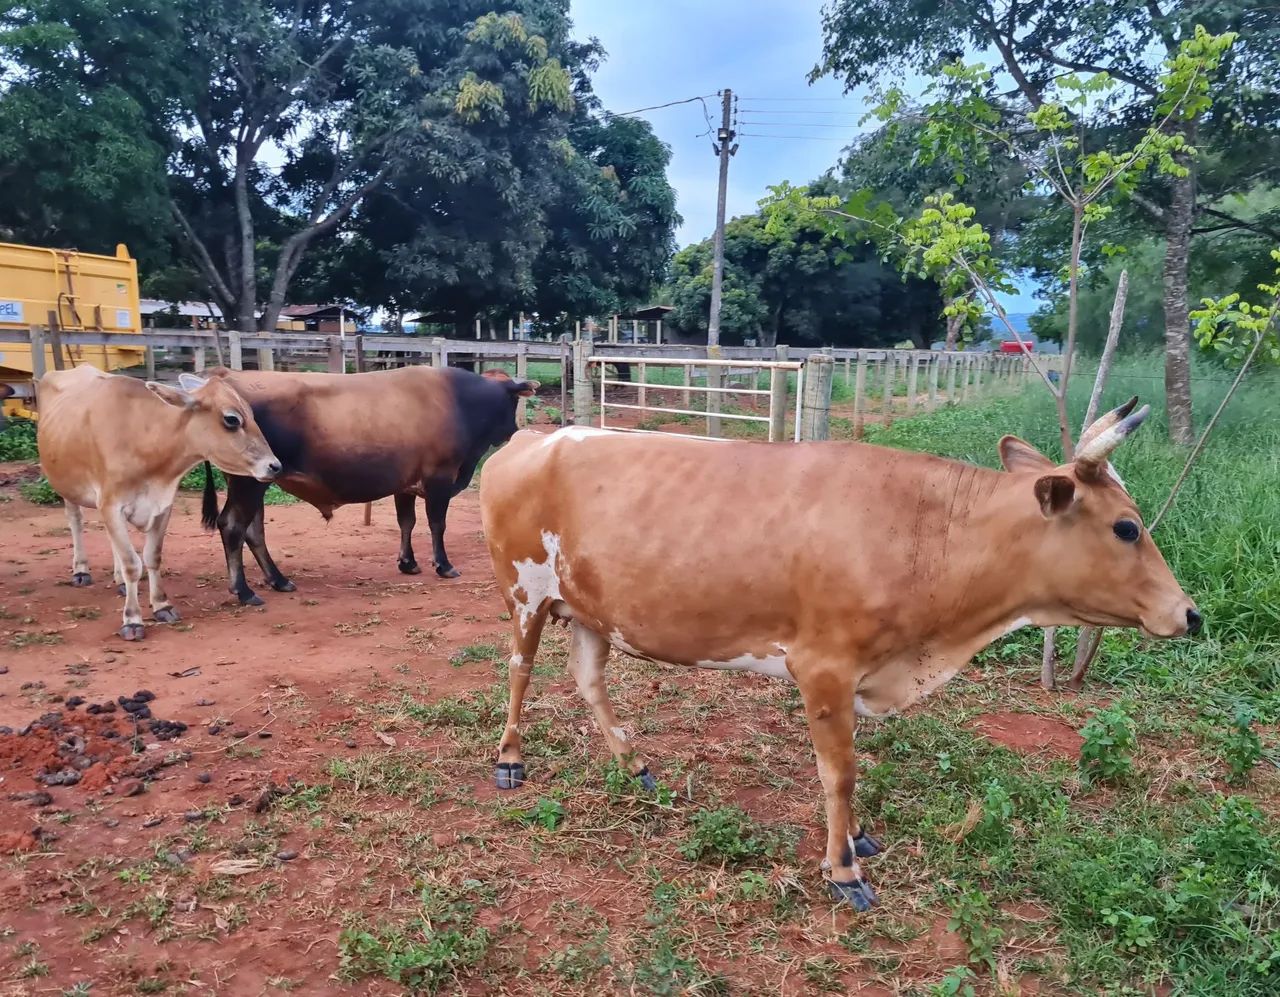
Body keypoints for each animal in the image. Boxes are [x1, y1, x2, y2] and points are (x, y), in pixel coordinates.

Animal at [36, 367, 280, 641]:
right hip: (66, 484)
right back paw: (81, 570)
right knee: (76, 521)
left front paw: (162, 605)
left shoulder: (162, 506)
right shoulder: (111, 504)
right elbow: (132, 563)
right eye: (231, 419)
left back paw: (119, 580)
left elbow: (152, 556)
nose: (274, 466)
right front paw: (132, 620)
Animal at [199, 365, 539, 605]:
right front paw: (443, 565)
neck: (461, 402)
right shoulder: (439, 478)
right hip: (248, 484)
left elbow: (407, 521)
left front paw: (408, 562)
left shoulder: (405, 483)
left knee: (254, 531)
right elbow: (436, 523)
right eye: (512, 403)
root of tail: (228, 376)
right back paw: (244, 591)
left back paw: (278, 580)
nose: (515, 431)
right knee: (233, 526)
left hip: (256, 482)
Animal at [478, 397, 1199, 911]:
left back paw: (634, 764)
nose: (1189, 613)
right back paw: (510, 758)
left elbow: (850, 771)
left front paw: (856, 838)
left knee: (588, 681)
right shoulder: (822, 667)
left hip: (591, 610)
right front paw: (843, 867)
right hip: (524, 591)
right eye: (1127, 526)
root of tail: (533, 437)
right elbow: (840, 772)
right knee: (519, 670)